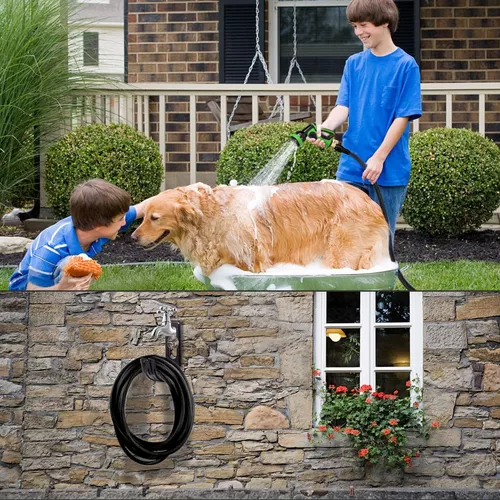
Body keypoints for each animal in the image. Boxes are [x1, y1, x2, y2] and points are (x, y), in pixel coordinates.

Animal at [132, 181, 390, 276]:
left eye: (155, 218)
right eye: (144, 217)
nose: (133, 237)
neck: (211, 214)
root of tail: (372, 202)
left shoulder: (254, 261)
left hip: (342, 252)